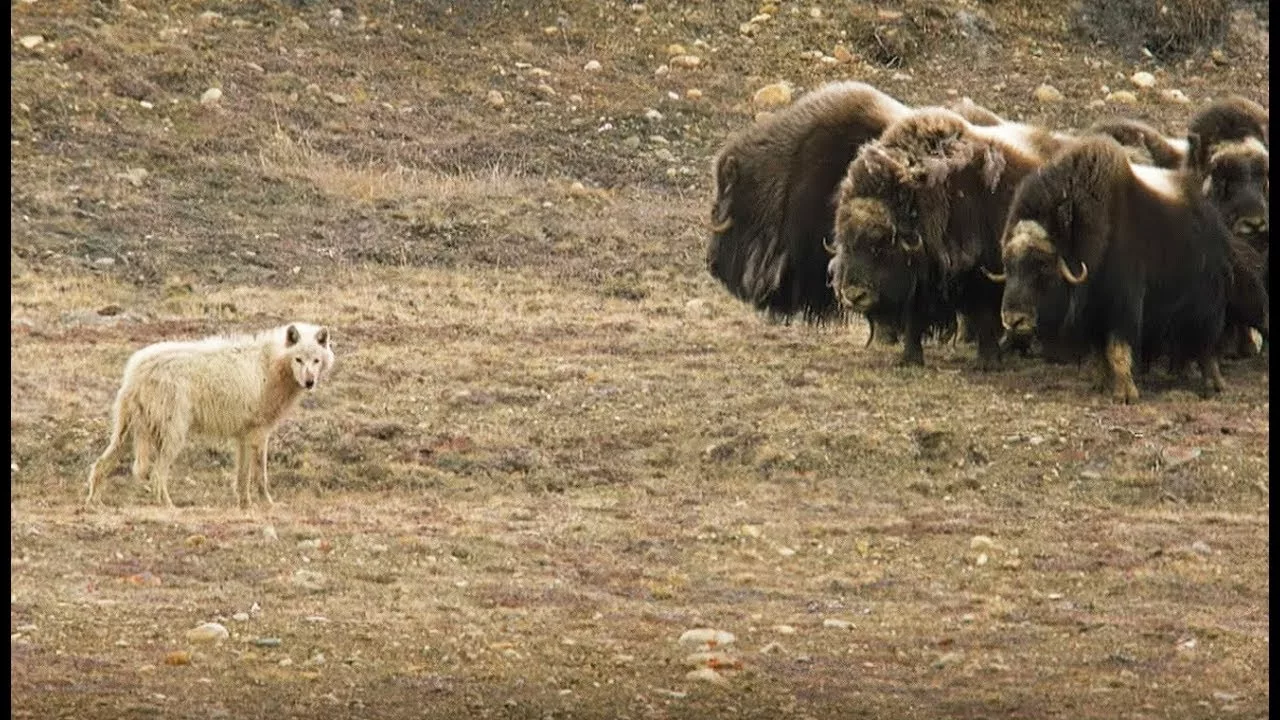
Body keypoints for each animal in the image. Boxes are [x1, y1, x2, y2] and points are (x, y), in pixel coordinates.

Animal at [85, 322, 335, 507]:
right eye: (298, 359)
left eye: (316, 360)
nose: (310, 382)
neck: (271, 364)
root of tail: (137, 369)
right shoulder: (259, 434)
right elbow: (260, 476)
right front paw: (268, 505)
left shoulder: (243, 437)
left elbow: (242, 477)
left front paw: (245, 505)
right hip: (173, 437)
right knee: (156, 475)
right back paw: (169, 506)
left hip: (125, 436)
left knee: (100, 464)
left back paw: (94, 502)